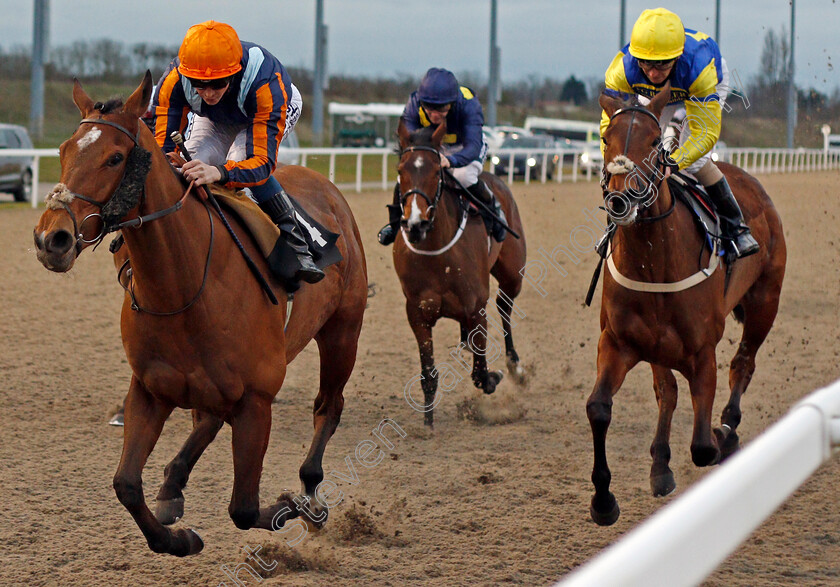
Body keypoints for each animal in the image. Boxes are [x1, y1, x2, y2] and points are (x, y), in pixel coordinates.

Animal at [32, 73, 368, 556]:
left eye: (115, 157)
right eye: (62, 150)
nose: (51, 239)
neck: (187, 285)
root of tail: (327, 188)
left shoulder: (256, 400)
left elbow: (244, 507)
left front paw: (289, 505)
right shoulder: (150, 388)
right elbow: (126, 484)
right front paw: (178, 538)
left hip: (343, 331)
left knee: (328, 406)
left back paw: (310, 492)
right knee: (208, 418)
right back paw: (173, 486)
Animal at [392, 121, 524, 430]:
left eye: (435, 171)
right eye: (401, 170)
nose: (415, 224)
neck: (437, 254)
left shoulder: (477, 308)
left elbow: (480, 373)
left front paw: (495, 376)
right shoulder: (417, 312)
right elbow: (429, 374)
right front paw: (428, 423)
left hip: (513, 273)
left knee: (504, 306)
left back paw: (514, 366)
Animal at [592, 86, 788, 524]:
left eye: (653, 142)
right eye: (606, 138)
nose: (620, 200)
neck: (654, 262)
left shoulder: (702, 354)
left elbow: (701, 447)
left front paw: (720, 436)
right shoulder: (618, 343)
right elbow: (600, 408)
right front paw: (604, 500)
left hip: (765, 302)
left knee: (742, 365)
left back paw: (728, 428)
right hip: (658, 346)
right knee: (667, 391)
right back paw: (661, 465)